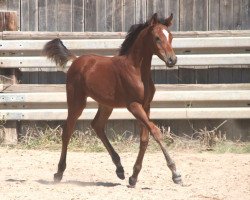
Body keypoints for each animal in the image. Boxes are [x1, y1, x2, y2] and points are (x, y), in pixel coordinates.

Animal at [43, 12, 182, 188]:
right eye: (157, 38)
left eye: (171, 36)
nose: (172, 60)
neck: (136, 70)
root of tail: (76, 60)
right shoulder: (134, 106)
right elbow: (156, 132)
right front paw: (175, 173)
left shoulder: (146, 106)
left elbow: (145, 138)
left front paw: (134, 177)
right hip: (76, 102)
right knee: (67, 131)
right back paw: (59, 172)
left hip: (106, 105)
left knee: (97, 125)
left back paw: (120, 169)